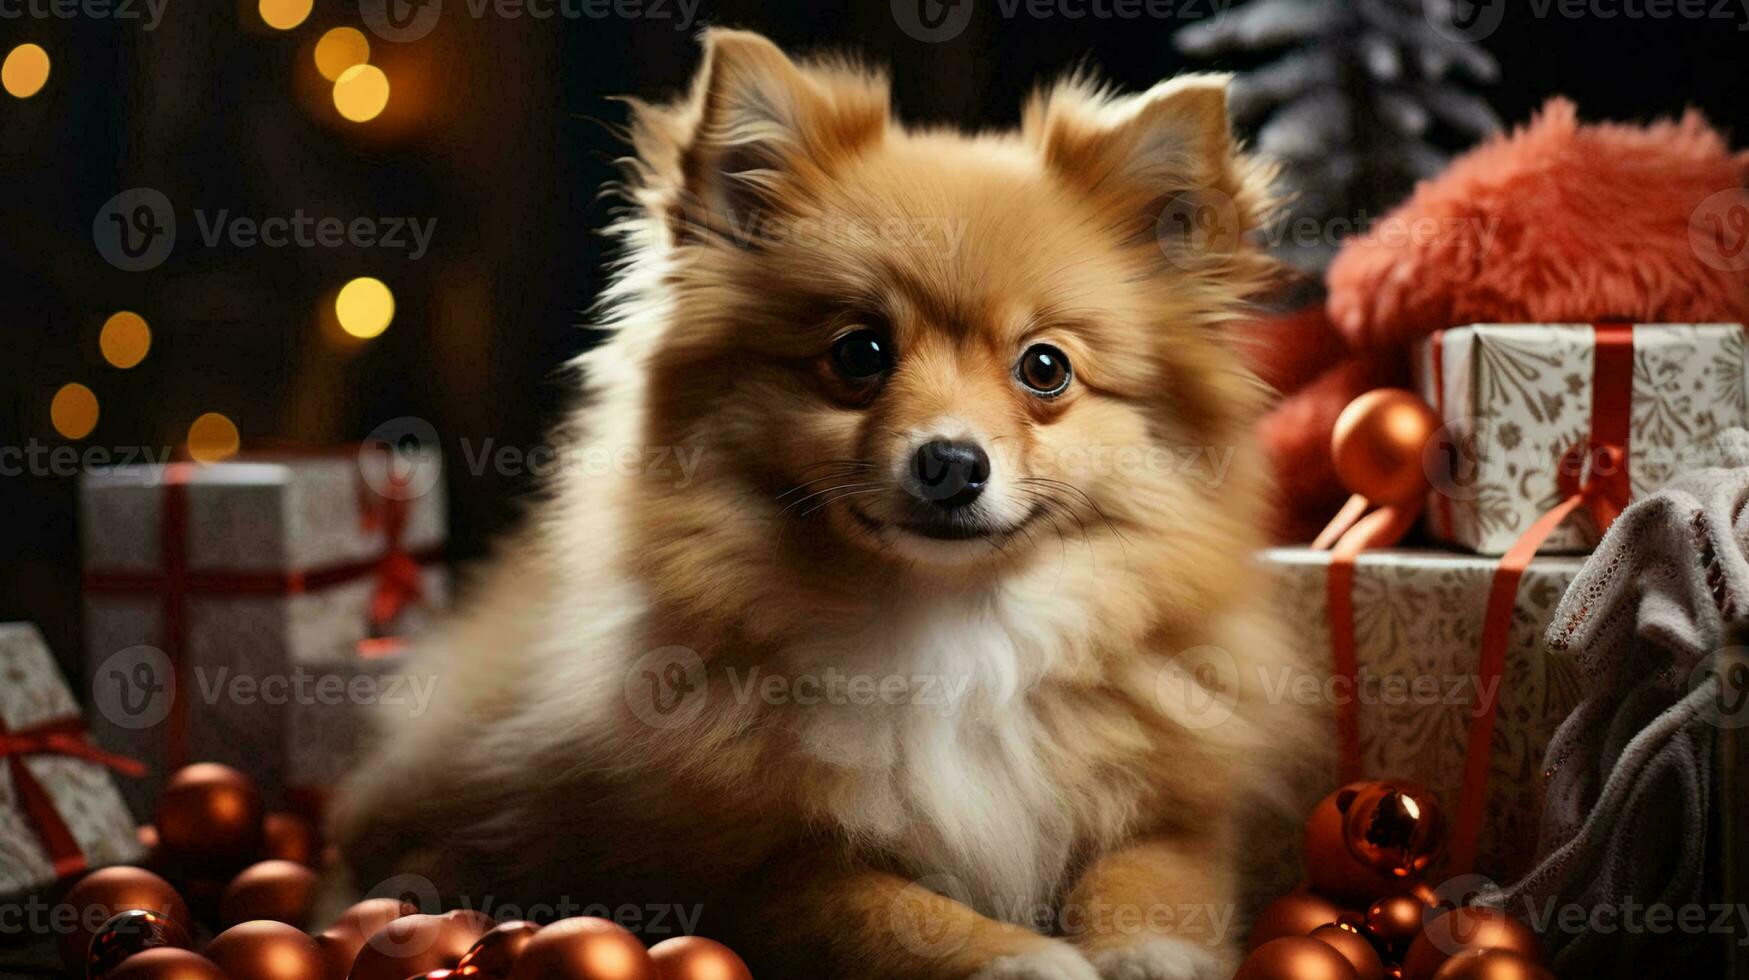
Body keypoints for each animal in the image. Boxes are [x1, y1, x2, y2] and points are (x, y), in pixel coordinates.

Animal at [334, 28, 1315, 980]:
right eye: (859, 353)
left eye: (1044, 368)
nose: (949, 461)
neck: (952, 629)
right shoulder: (737, 875)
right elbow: (888, 912)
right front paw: (1021, 959)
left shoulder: (1182, 809)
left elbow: (1157, 875)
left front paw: (1149, 955)